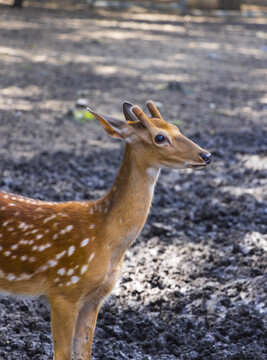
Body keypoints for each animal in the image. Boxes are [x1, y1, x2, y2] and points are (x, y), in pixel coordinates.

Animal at [0, 101, 211, 360]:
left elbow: (84, 351)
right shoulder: (63, 289)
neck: (106, 237)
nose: (206, 155)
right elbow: (63, 354)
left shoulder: (95, 298)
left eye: (176, 127)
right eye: (160, 137)